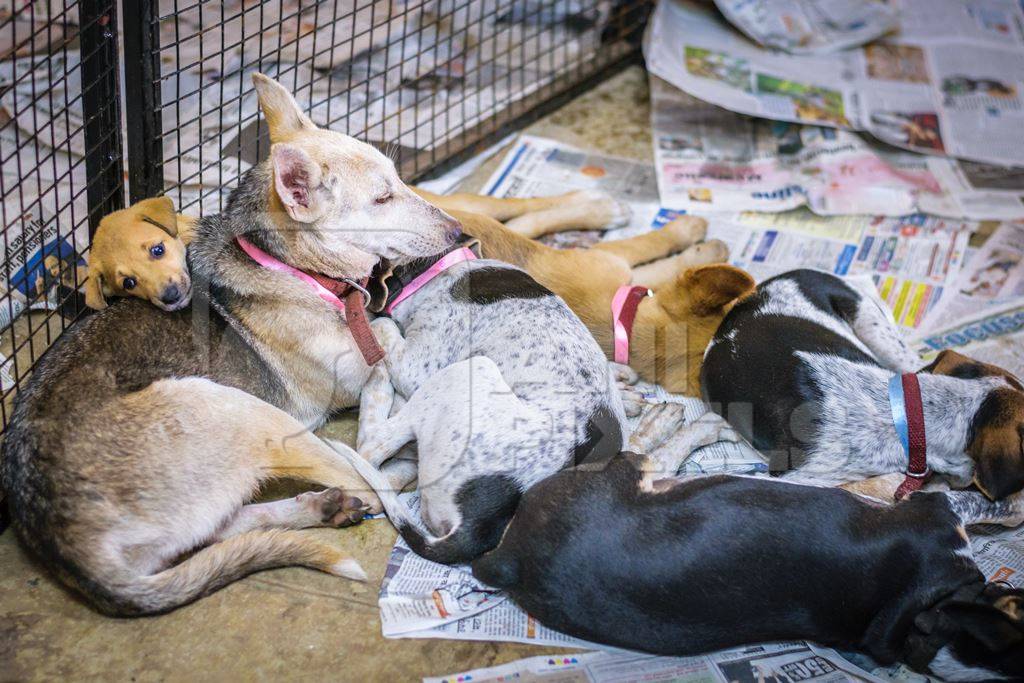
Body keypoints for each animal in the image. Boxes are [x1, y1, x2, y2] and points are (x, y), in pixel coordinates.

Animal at [471, 419, 1024, 679]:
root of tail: (507, 563)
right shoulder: (936, 511)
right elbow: (983, 503)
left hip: (624, 478)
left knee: (650, 451)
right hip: (625, 474)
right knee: (646, 448)